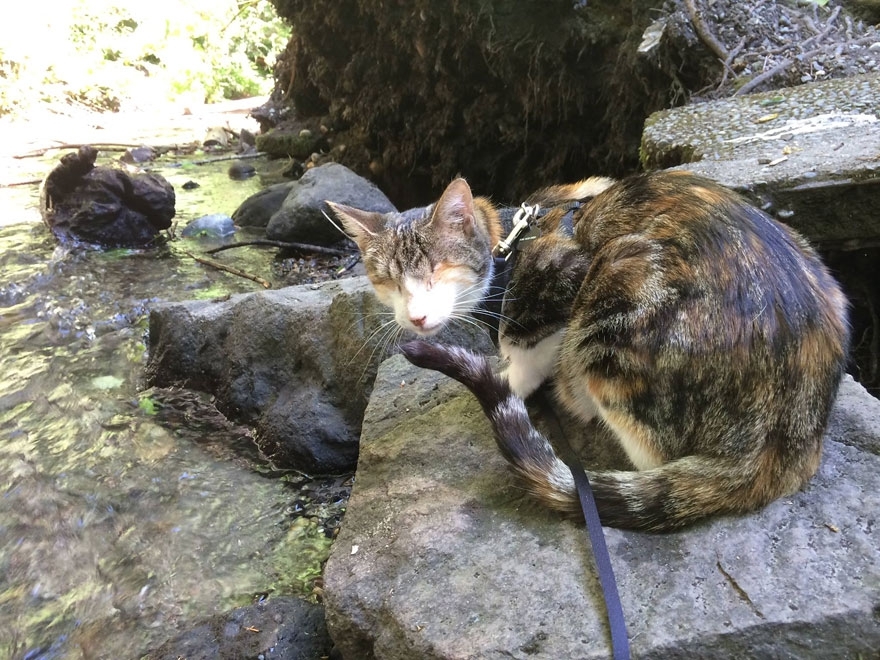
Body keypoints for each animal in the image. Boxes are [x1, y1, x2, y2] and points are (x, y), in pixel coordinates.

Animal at [326, 170, 848, 532]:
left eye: (436, 270)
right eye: (388, 281)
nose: (415, 318)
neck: (506, 247)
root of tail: (783, 435)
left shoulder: (568, 274)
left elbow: (534, 344)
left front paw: (513, 377)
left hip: (619, 293)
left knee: (650, 451)